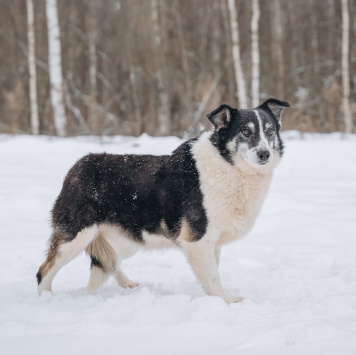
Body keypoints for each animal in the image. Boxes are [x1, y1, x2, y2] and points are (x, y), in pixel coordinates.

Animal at [36, 98, 290, 304]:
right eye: (245, 132)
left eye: (269, 131)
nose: (264, 154)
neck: (228, 164)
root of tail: (76, 167)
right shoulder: (198, 240)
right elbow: (212, 277)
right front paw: (226, 301)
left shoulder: (212, 242)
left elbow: (211, 273)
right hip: (76, 237)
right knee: (43, 271)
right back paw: (46, 299)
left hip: (125, 240)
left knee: (109, 261)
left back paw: (127, 284)